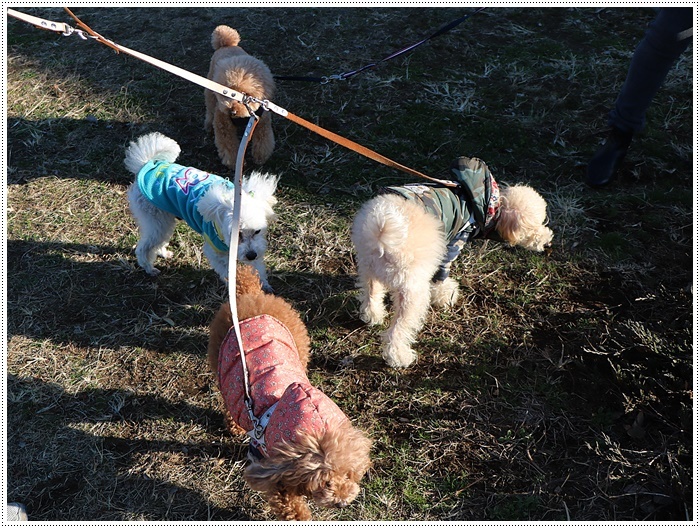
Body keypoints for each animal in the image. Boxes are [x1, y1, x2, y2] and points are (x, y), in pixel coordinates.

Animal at [124, 132, 278, 288]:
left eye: (257, 231)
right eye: (237, 234)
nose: (251, 255)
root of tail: (146, 166)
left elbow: (257, 268)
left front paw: (263, 286)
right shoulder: (215, 252)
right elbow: (227, 272)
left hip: (164, 220)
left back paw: (163, 253)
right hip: (155, 220)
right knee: (143, 247)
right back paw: (149, 268)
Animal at [350, 157, 552, 368]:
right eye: (535, 226)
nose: (548, 242)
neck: (490, 204)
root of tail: (380, 229)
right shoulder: (453, 244)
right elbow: (442, 275)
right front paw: (447, 295)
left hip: (367, 267)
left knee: (371, 293)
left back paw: (373, 315)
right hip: (412, 290)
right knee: (398, 329)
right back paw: (399, 357)